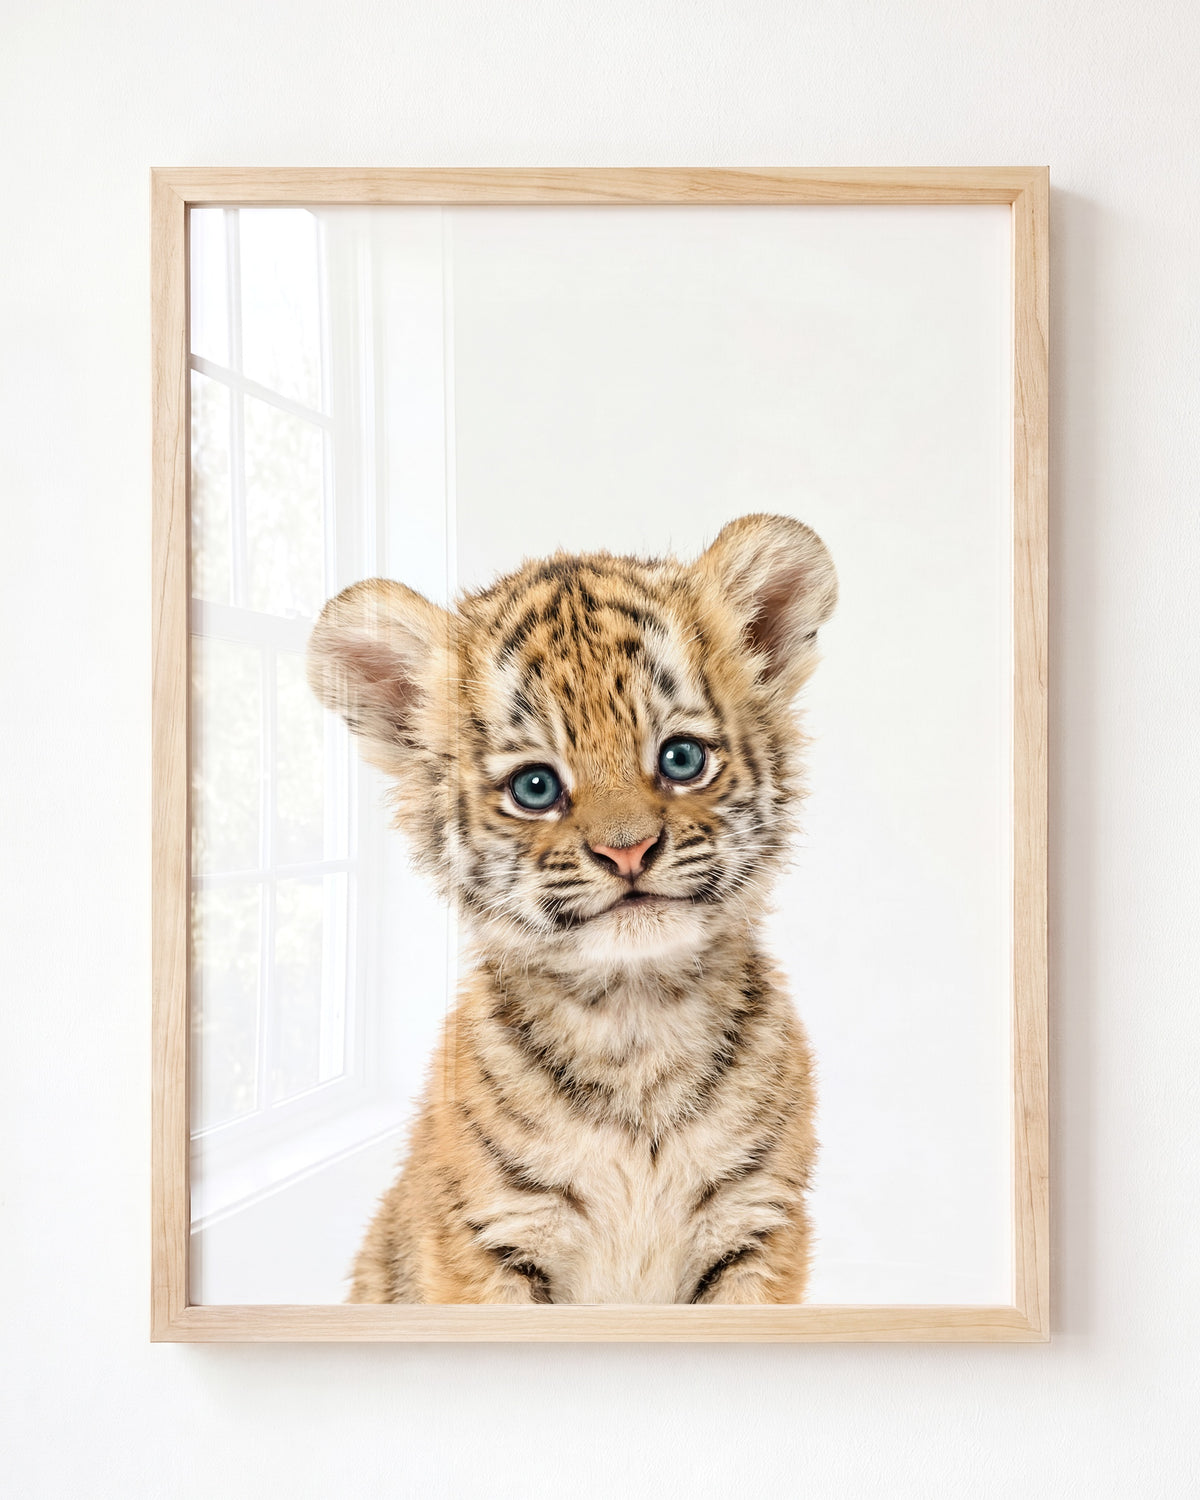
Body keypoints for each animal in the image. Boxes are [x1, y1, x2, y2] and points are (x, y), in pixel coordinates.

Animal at [307, 512, 837, 1304]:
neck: (636, 1021)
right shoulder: (489, 1238)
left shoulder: (757, 1226)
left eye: (682, 759)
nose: (628, 851)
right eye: (535, 787)